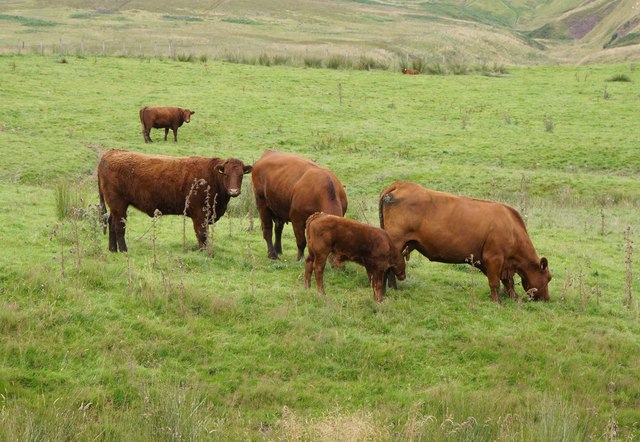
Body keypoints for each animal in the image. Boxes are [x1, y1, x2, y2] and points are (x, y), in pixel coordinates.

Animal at [97, 148, 252, 252]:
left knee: (111, 222)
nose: (234, 191)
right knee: (118, 227)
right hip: (118, 203)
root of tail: (112, 152)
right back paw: (124, 250)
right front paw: (204, 253)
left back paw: (113, 249)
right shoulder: (199, 214)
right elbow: (202, 235)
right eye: (226, 174)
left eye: (241, 175)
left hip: (115, 206)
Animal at [378, 181, 552, 302]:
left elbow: (508, 282)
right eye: (549, 278)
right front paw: (497, 302)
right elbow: (495, 282)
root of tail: (402, 184)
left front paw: (513, 297)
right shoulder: (494, 258)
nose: (547, 299)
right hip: (396, 241)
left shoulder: (504, 264)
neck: (511, 228)